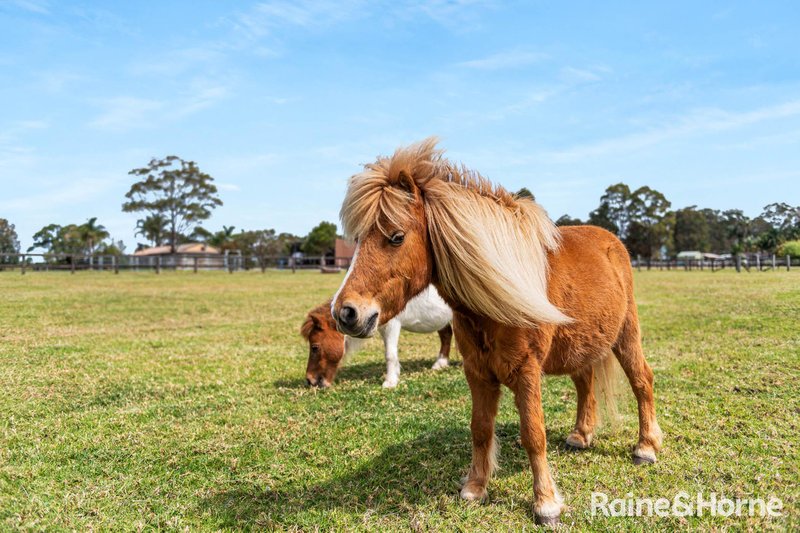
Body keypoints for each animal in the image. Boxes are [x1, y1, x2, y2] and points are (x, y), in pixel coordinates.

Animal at [302, 286, 454, 386]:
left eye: (315, 347)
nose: (310, 380)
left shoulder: (392, 325)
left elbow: (390, 354)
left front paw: (390, 382)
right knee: (446, 335)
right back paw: (440, 363)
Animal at [332, 136, 664, 524]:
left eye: (396, 237)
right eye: (356, 241)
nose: (346, 313)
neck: (493, 302)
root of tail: (612, 242)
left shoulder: (527, 372)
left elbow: (533, 433)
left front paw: (545, 503)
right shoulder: (477, 373)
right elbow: (480, 428)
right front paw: (475, 488)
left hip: (626, 335)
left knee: (641, 379)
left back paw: (645, 447)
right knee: (585, 383)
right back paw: (581, 435)